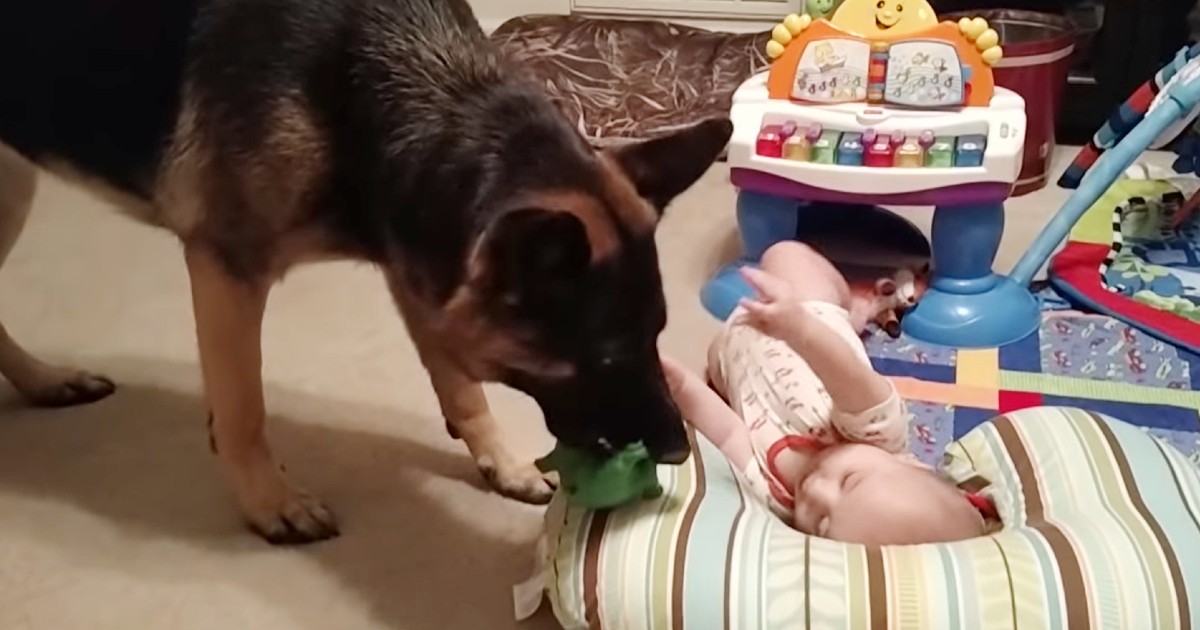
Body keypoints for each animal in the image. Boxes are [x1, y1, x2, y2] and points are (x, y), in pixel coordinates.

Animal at [0, 0, 732, 544]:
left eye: (656, 335)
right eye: (606, 358)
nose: (677, 449)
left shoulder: (413, 263)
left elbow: (460, 386)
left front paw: (503, 464)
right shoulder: (225, 268)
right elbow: (242, 405)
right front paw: (270, 502)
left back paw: (46, 382)